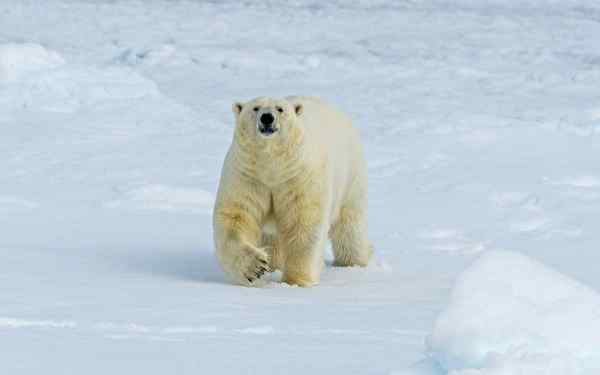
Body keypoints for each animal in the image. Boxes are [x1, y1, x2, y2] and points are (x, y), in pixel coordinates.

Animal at [211, 95, 370, 286]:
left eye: (280, 109)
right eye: (255, 108)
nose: (267, 118)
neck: (272, 165)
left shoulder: (298, 176)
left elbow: (303, 221)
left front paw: (295, 281)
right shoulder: (248, 176)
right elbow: (236, 217)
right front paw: (256, 267)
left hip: (351, 174)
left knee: (350, 225)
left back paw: (354, 262)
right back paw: (274, 263)